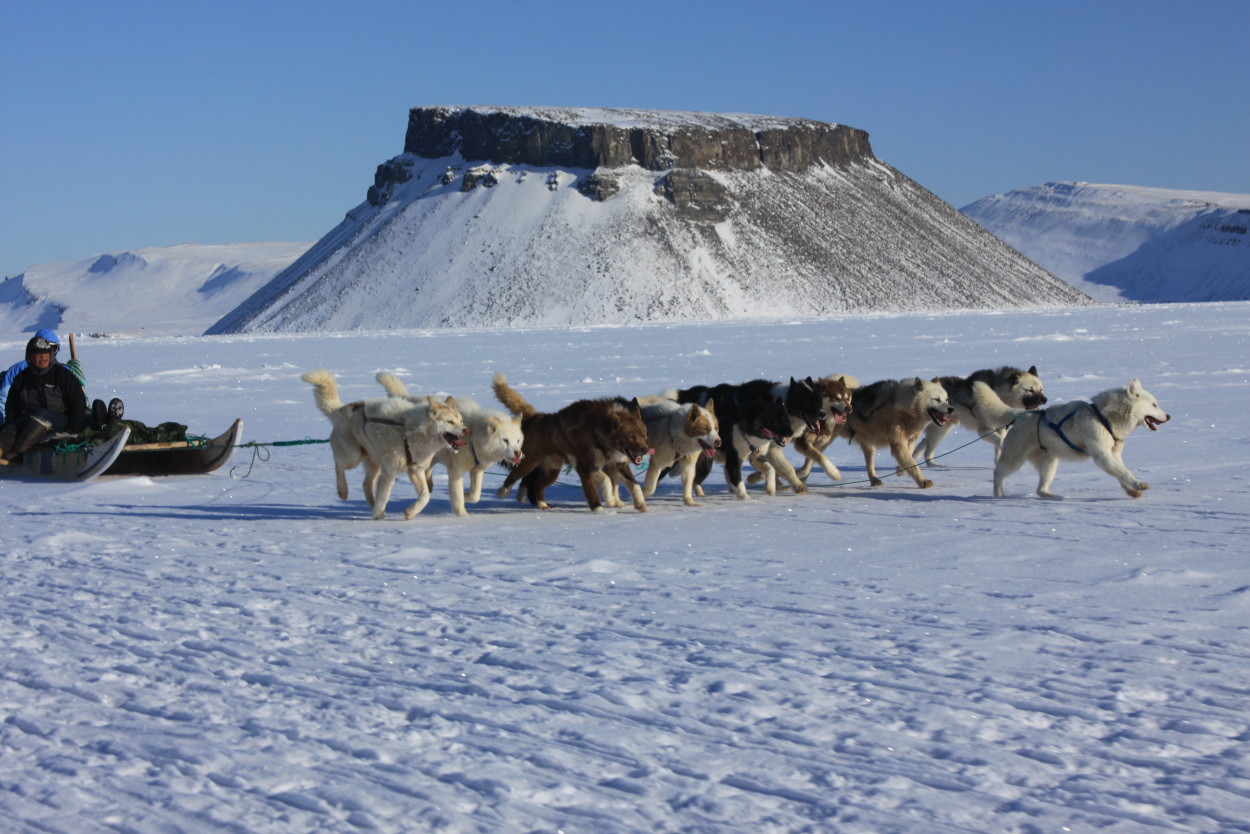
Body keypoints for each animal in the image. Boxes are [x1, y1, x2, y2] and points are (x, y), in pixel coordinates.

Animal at [375, 372, 522, 515]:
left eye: (518, 440)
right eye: (505, 440)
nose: (518, 453)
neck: (473, 436)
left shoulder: (477, 470)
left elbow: (475, 496)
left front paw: (466, 495)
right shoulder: (456, 471)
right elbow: (458, 498)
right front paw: (462, 515)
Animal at [490, 375, 655, 512]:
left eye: (644, 434)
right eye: (631, 437)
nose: (645, 449)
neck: (598, 431)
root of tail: (540, 417)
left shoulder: (618, 464)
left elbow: (634, 485)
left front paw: (639, 504)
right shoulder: (585, 466)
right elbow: (603, 483)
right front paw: (599, 508)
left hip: (552, 470)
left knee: (537, 485)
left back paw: (542, 504)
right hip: (530, 462)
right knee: (515, 476)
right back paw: (503, 491)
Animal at [970, 380, 1165, 502]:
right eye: (1154, 405)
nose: (1168, 416)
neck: (1103, 417)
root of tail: (1022, 415)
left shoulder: (1113, 455)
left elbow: (1121, 472)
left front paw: (1132, 491)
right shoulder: (1103, 456)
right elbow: (1123, 472)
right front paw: (1138, 484)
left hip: (1050, 464)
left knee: (1040, 490)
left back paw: (1055, 497)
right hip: (1015, 459)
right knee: (998, 473)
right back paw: (999, 495)